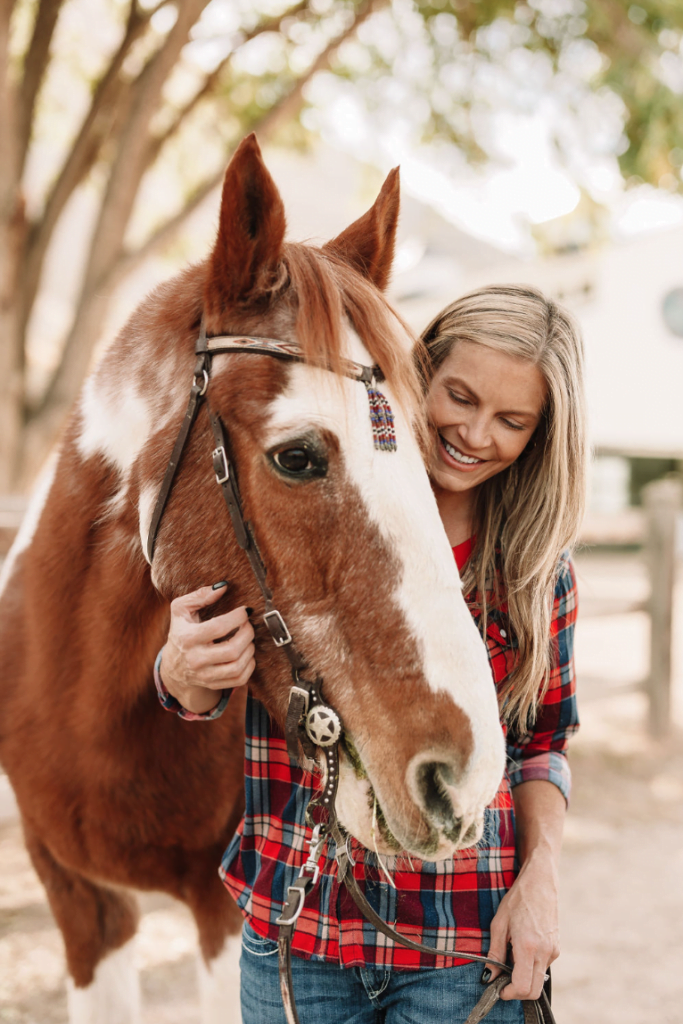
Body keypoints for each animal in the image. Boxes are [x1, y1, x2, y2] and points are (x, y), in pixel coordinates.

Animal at [0, 136, 501, 1024]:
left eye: (425, 448)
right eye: (296, 457)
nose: (463, 773)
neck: (92, 705)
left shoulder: (224, 918)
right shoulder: (82, 907)